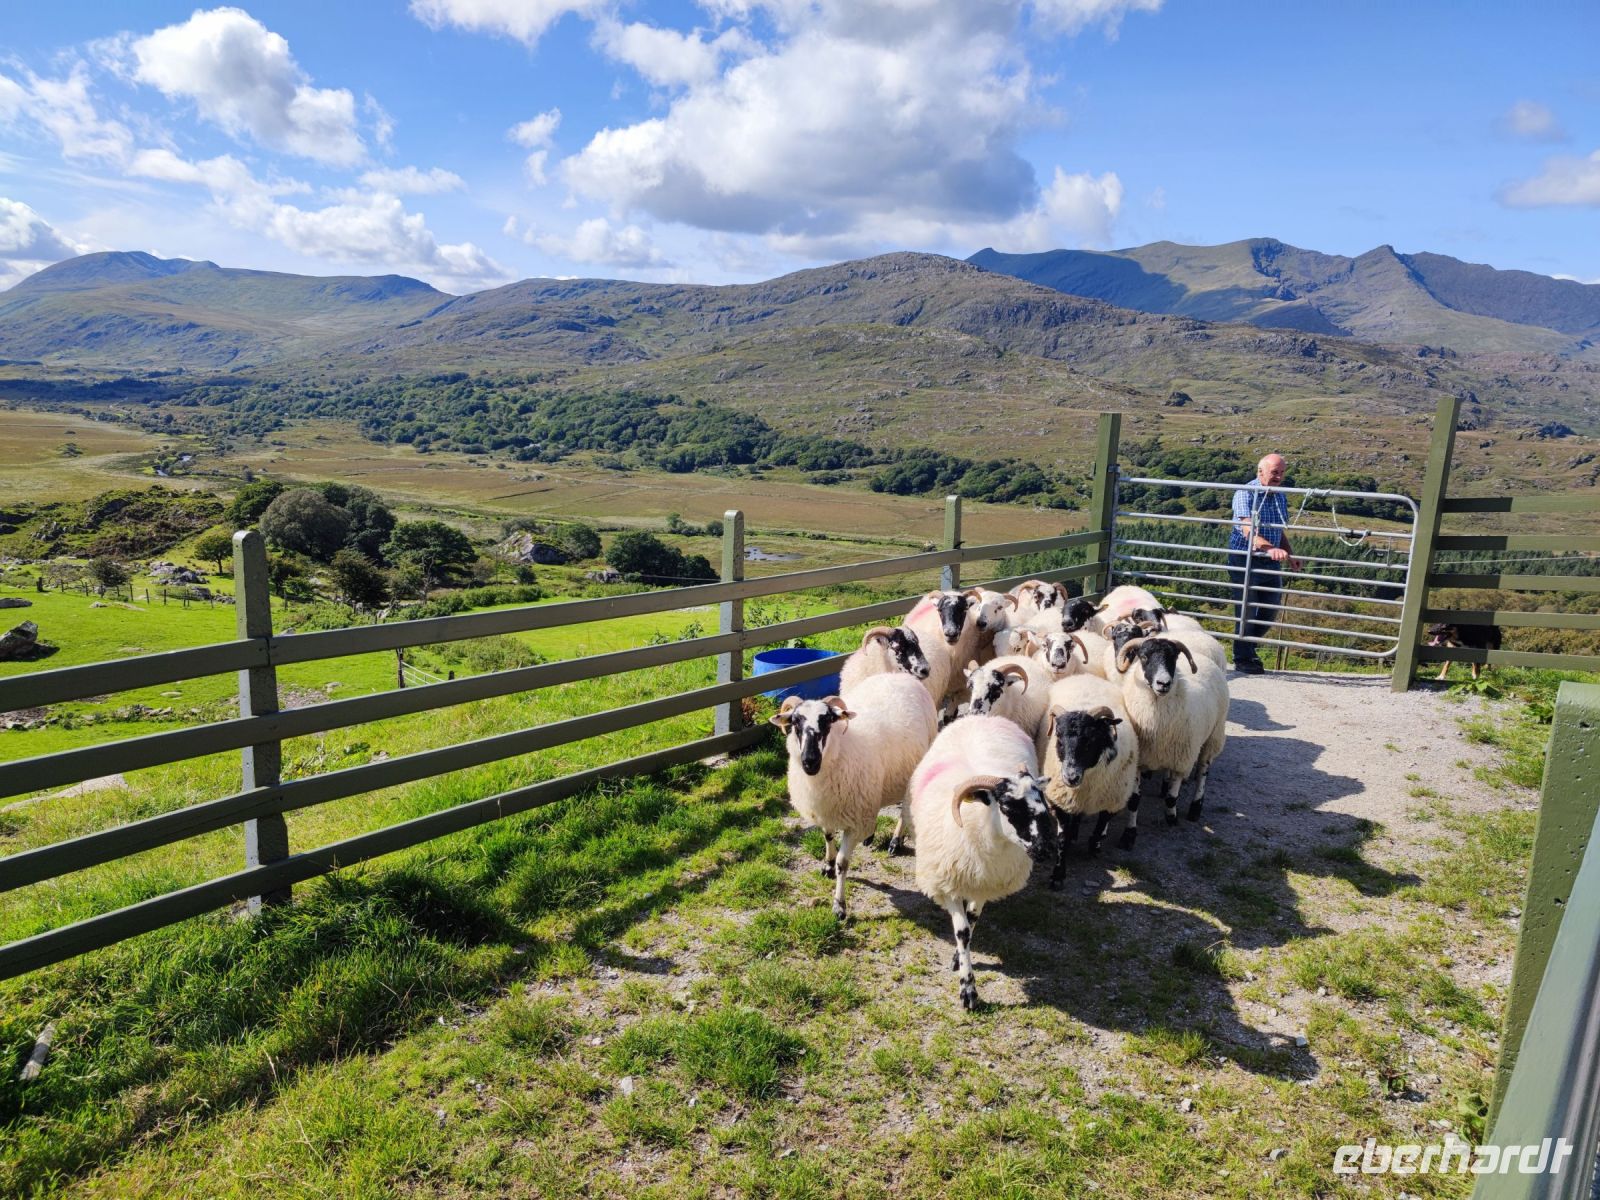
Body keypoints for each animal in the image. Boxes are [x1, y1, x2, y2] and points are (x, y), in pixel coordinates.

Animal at [770, 673, 937, 918]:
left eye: (828, 721)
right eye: (795, 722)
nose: (810, 761)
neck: (842, 748)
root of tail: (899, 675)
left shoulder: (854, 822)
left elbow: (843, 863)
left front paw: (839, 906)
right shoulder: (826, 811)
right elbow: (828, 837)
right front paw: (827, 865)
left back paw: (895, 841)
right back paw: (871, 836)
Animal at [906, 715, 1056, 1009]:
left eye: (1042, 802)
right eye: (1007, 807)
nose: (1045, 849)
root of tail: (982, 716)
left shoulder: (987, 883)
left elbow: (973, 919)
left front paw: (958, 958)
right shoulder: (948, 884)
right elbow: (963, 931)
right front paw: (968, 989)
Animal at [1036, 674, 1141, 876]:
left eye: (1090, 740)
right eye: (1059, 738)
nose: (1070, 777)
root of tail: (1087, 676)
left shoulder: (1113, 799)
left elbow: (1101, 826)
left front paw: (1094, 846)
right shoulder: (1058, 800)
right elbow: (1062, 838)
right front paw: (1058, 874)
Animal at [1113, 636, 1230, 826]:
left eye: (1174, 657)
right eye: (1144, 657)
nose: (1164, 683)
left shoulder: (1181, 761)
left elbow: (1171, 798)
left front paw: (1171, 818)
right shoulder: (1139, 760)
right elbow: (1134, 801)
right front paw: (1129, 832)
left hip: (1214, 736)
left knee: (1203, 772)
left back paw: (1195, 808)